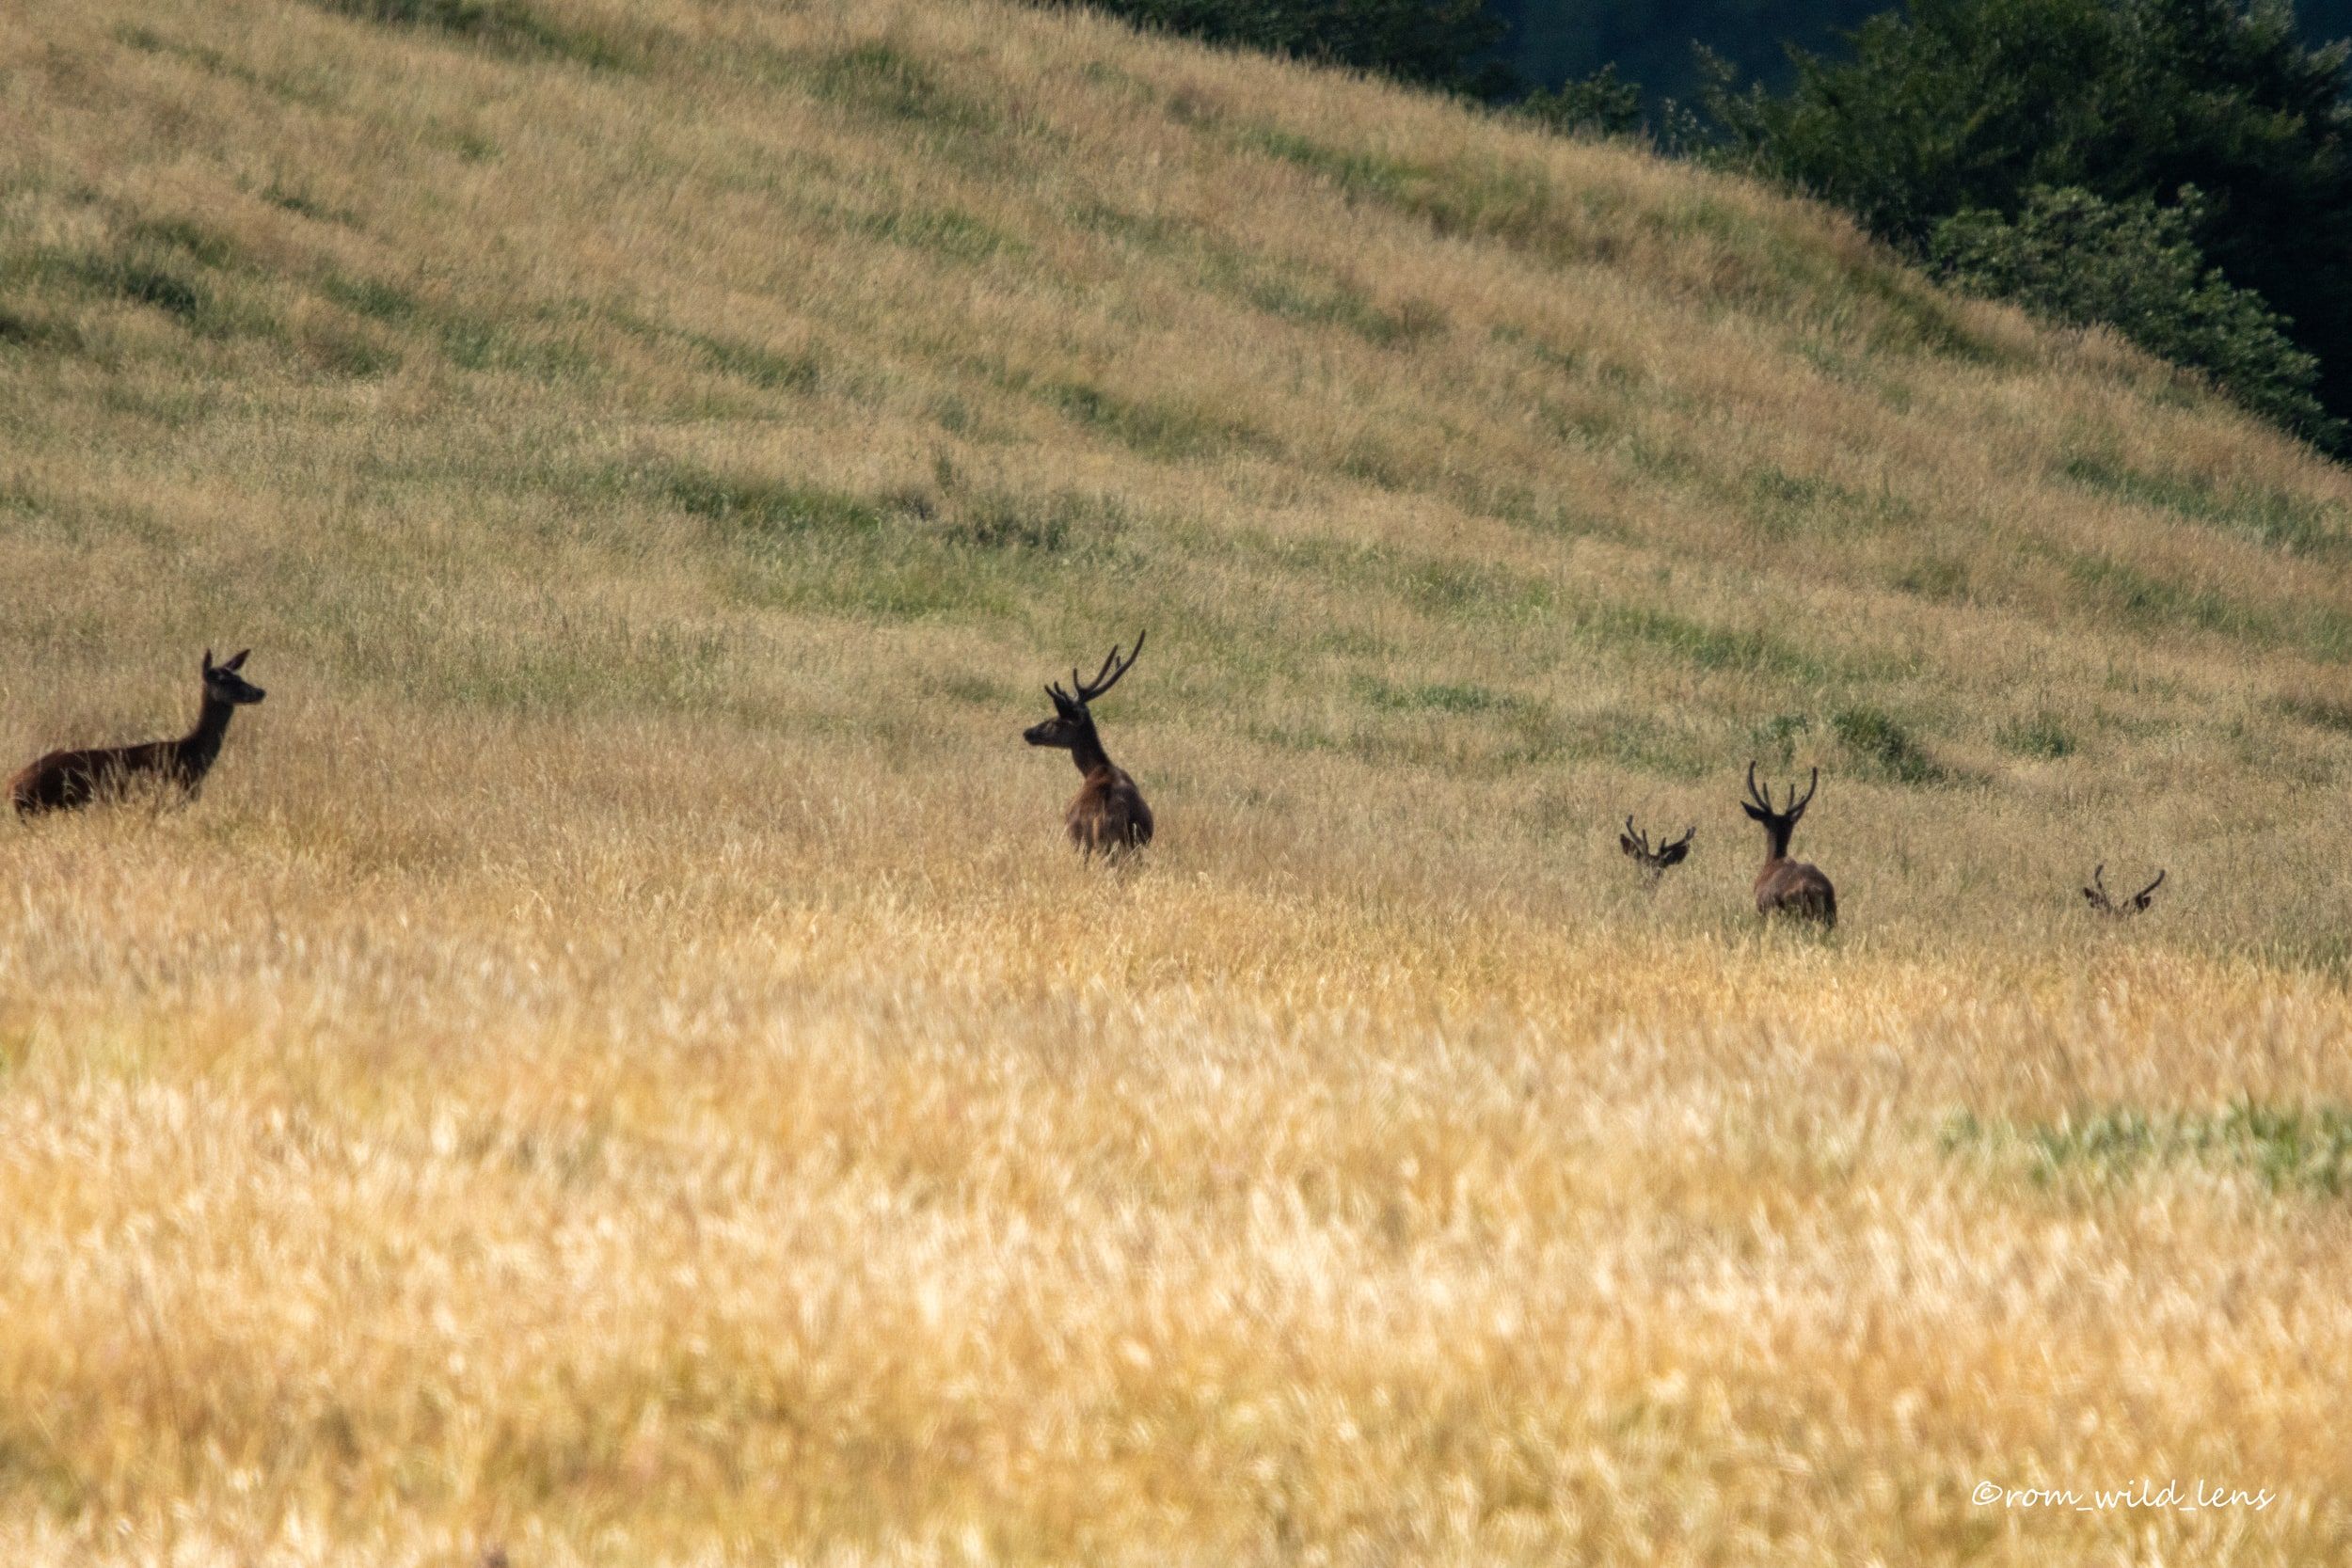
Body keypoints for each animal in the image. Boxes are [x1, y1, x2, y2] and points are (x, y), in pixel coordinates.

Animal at [1024, 632, 1153, 856]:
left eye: (1057, 721)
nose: (1028, 732)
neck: (1094, 769)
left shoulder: (1074, 837)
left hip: (1093, 842)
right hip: (1138, 844)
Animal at [1741, 762, 1836, 926]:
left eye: (1765, 824)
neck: (1772, 861)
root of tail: (1813, 890)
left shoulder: (1761, 911)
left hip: (1788, 914)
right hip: (1832, 915)